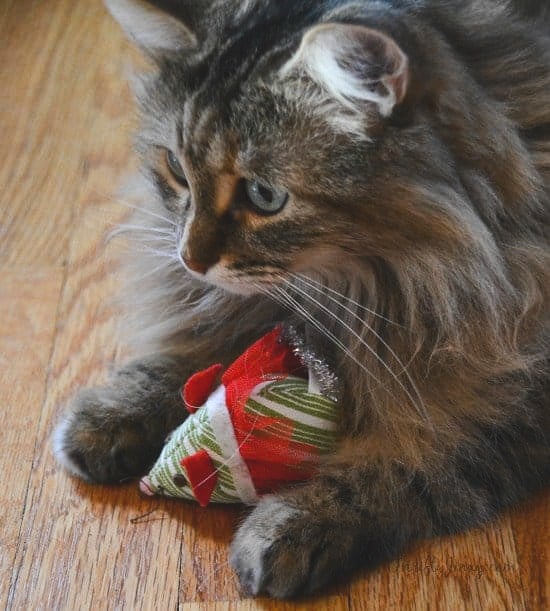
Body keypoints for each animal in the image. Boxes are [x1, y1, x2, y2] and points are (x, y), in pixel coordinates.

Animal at [52, 0, 550, 604]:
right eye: (176, 169)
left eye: (264, 196)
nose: (189, 259)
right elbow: (199, 353)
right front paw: (113, 413)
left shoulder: (514, 392)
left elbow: (409, 462)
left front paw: (292, 526)